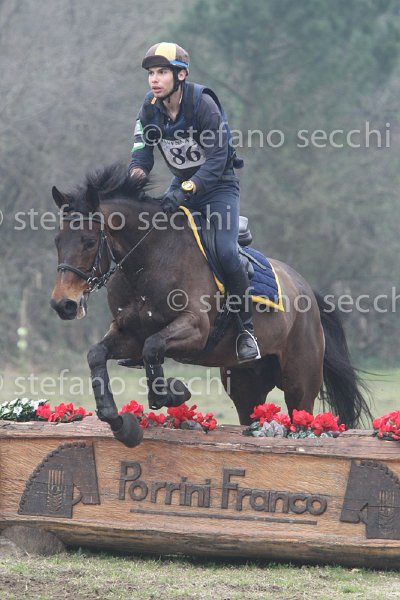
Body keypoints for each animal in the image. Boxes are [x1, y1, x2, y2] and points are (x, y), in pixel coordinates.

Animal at [50, 164, 371, 447]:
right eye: (57, 241)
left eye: (89, 241)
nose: (63, 304)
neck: (149, 259)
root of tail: (306, 289)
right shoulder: (129, 334)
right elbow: (97, 355)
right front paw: (118, 421)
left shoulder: (195, 329)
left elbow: (153, 347)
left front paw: (174, 393)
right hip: (245, 385)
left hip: (300, 383)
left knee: (300, 414)